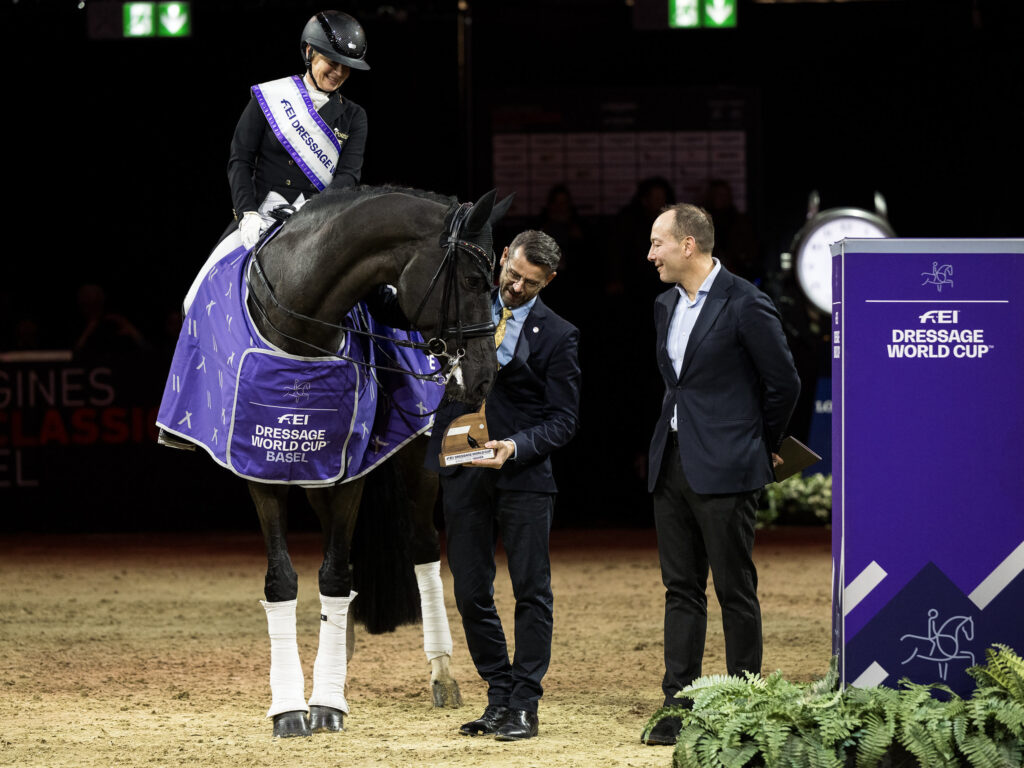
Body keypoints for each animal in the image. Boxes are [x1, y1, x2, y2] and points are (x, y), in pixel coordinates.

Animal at [157, 185, 510, 737]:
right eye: (473, 280)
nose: (482, 377)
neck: (298, 323)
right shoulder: (262, 467)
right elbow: (285, 580)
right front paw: (289, 708)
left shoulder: (348, 474)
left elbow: (336, 576)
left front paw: (326, 704)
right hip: (314, 478)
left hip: (410, 467)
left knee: (421, 550)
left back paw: (441, 674)